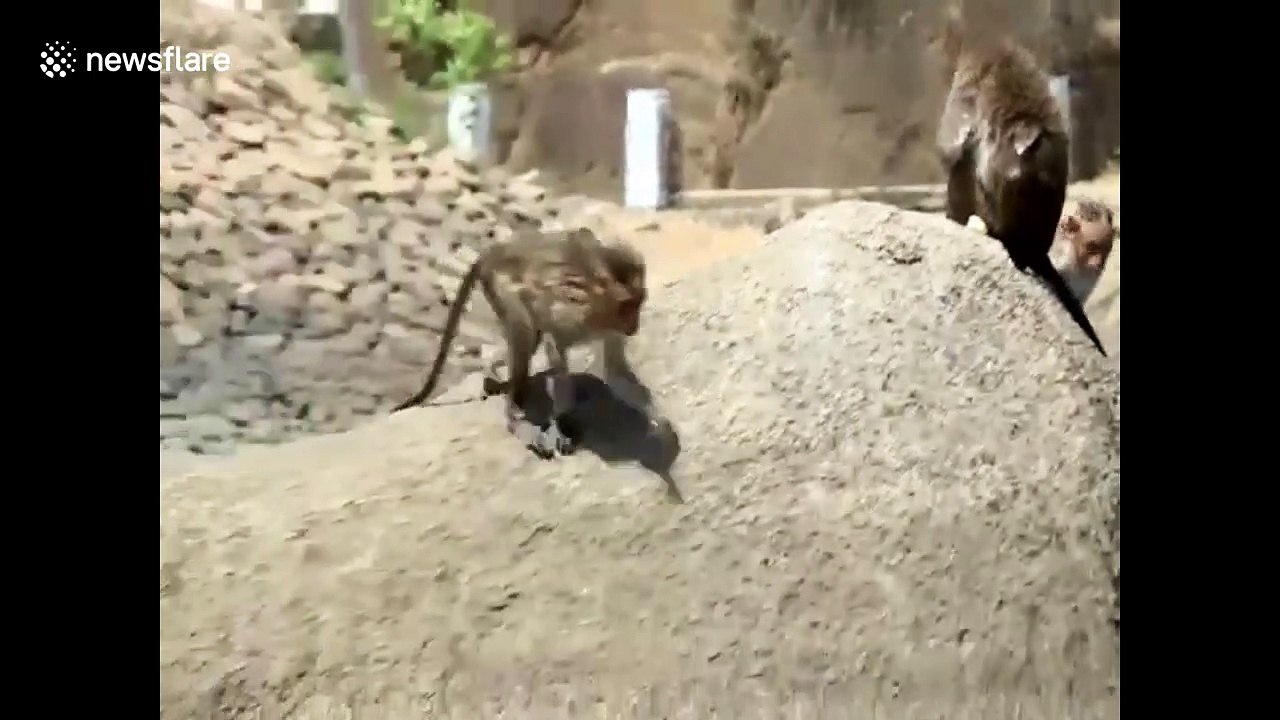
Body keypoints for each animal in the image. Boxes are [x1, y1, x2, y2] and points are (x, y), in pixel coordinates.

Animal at [393, 226, 652, 460]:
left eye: (638, 303)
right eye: (626, 306)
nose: (634, 327)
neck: (596, 305)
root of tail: (494, 251)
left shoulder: (611, 331)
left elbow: (615, 371)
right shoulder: (568, 315)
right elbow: (555, 351)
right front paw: (560, 421)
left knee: (529, 341)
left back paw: (494, 372)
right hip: (500, 287)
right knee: (524, 338)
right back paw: (514, 414)